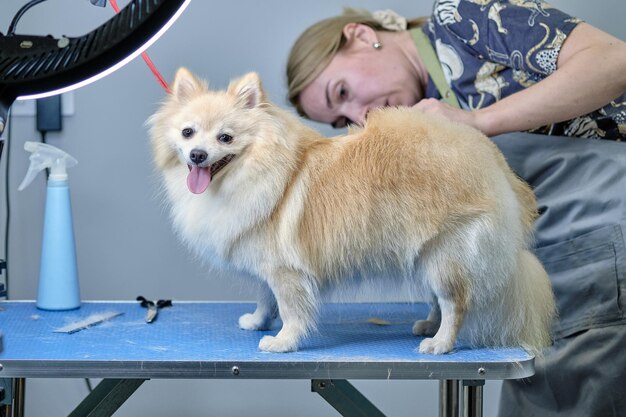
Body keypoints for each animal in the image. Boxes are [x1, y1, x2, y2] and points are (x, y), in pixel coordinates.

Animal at [149, 68, 552, 354]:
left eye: (225, 138)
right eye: (187, 133)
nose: (197, 155)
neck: (252, 173)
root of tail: (489, 157)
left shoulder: (286, 270)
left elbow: (291, 309)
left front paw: (283, 342)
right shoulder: (265, 263)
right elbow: (265, 297)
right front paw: (258, 321)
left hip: (446, 254)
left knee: (456, 302)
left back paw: (440, 343)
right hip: (426, 254)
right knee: (440, 300)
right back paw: (428, 326)